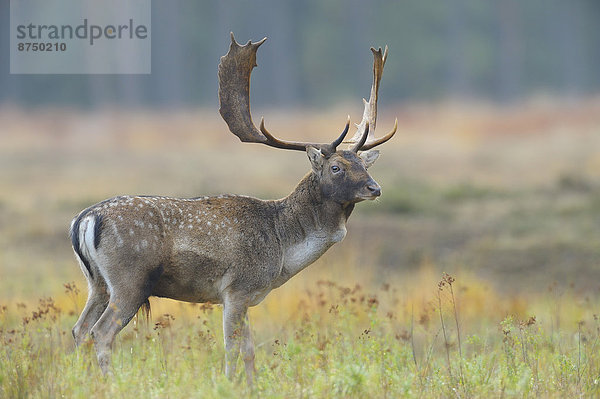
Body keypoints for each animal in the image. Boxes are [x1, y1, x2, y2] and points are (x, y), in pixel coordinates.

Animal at [70, 33, 396, 384]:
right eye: (336, 167)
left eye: (364, 163)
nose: (375, 188)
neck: (282, 249)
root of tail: (84, 220)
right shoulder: (235, 288)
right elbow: (231, 349)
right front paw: (229, 383)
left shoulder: (249, 296)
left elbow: (250, 351)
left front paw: (253, 386)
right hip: (130, 280)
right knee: (100, 333)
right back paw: (110, 383)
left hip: (97, 283)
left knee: (79, 329)